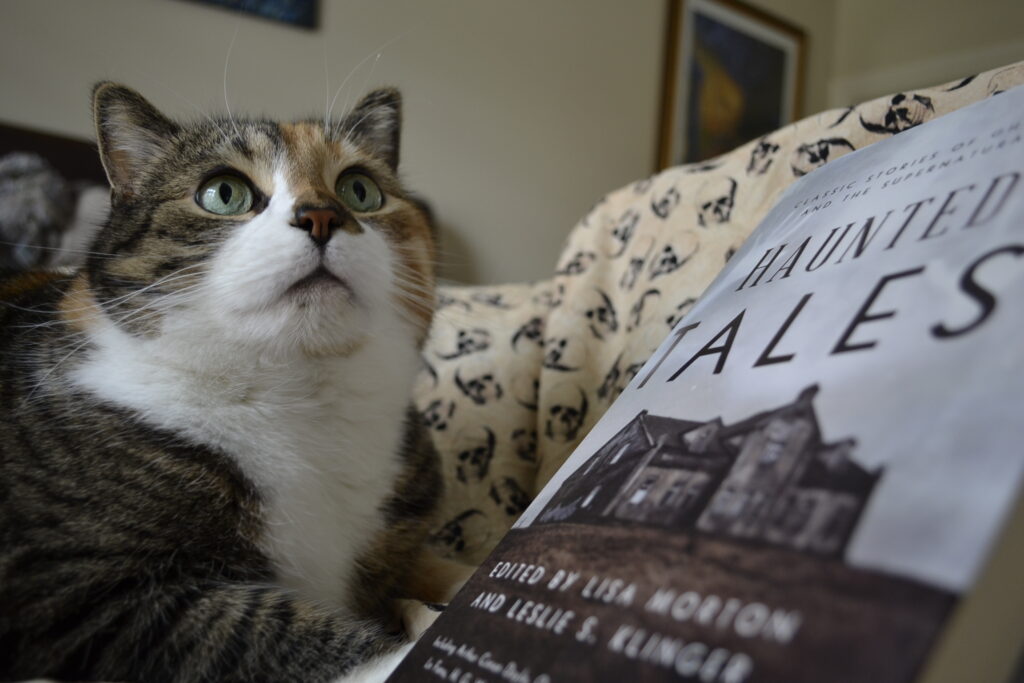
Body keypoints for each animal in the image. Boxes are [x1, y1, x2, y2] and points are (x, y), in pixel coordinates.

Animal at [0, 82, 468, 679]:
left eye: (360, 190)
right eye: (224, 194)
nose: (322, 214)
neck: (300, 398)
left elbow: (438, 566)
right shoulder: (74, 588)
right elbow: (257, 630)